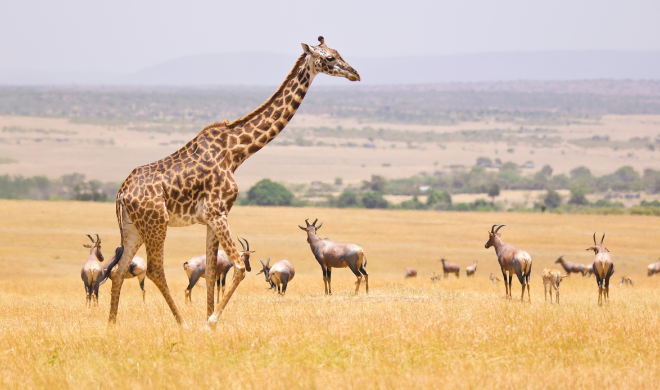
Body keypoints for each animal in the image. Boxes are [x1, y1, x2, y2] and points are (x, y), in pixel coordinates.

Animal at [108, 37, 358, 330]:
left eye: (338, 52)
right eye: (329, 58)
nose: (355, 73)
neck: (235, 153)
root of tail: (121, 193)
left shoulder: (209, 218)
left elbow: (212, 269)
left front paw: (209, 319)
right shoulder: (218, 212)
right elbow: (238, 266)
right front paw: (210, 321)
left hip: (133, 228)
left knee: (118, 270)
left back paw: (111, 325)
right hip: (156, 223)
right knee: (155, 269)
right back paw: (182, 324)